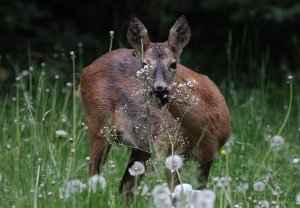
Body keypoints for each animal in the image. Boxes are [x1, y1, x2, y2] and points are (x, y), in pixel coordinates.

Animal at [78, 15, 231, 197]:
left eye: (173, 64)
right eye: (144, 64)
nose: (159, 89)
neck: (206, 126)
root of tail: (85, 71)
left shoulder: (207, 157)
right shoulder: (168, 149)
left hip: (141, 147)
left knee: (125, 188)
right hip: (99, 126)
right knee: (92, 175)